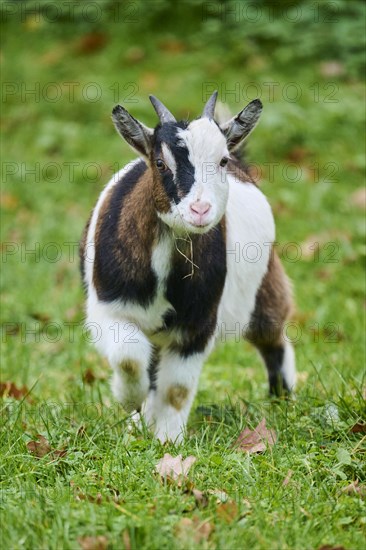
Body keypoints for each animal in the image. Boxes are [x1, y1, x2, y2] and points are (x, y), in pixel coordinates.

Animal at [79, 91, 294, 444]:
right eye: (160, 163)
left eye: (221, 161)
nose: (200, 209)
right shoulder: (109, 309)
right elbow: (129, 358)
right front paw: (131, 401)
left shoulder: (198, 325)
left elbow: (177, 389)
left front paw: (168, 441)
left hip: (263, 286)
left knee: (273, 336)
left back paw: (285, 402)